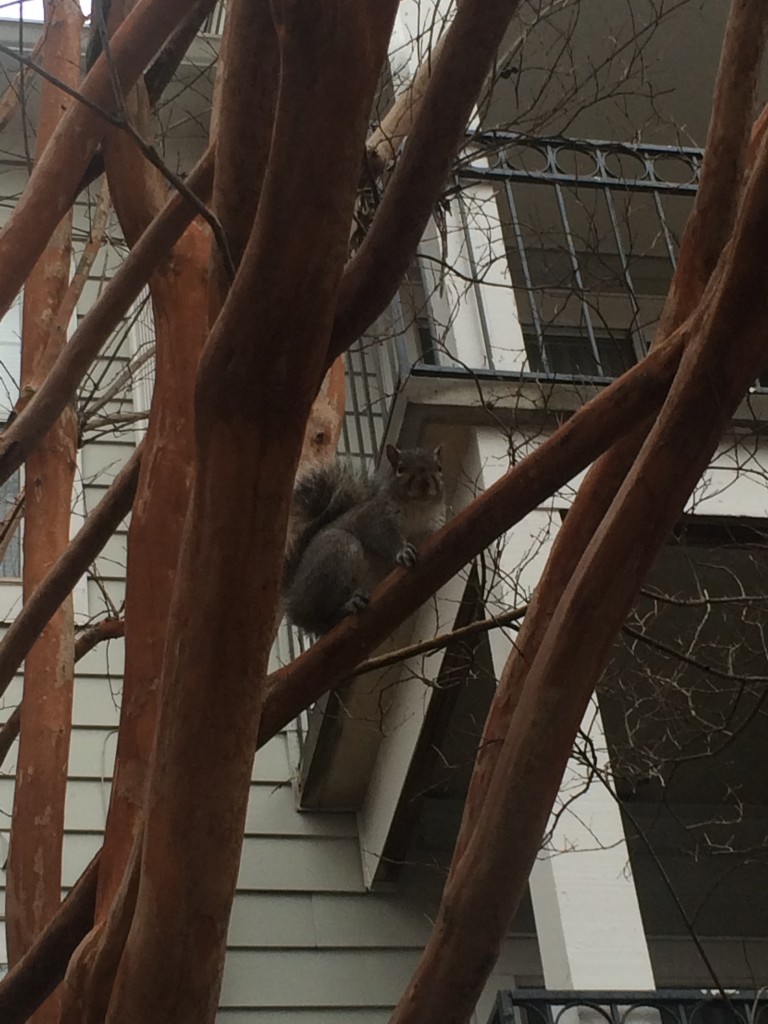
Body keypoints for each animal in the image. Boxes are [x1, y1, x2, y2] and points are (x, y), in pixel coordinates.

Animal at [283, 444, 445, 637]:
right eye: (400, 469)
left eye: (439, 468)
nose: (425, 484)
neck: (417, 508)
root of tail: (293, 595)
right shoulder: (375, 516)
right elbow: (381, 536)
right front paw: (402, 551)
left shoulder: (431, 529)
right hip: (337, 552)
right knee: (318, 619)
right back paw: (347, 607)